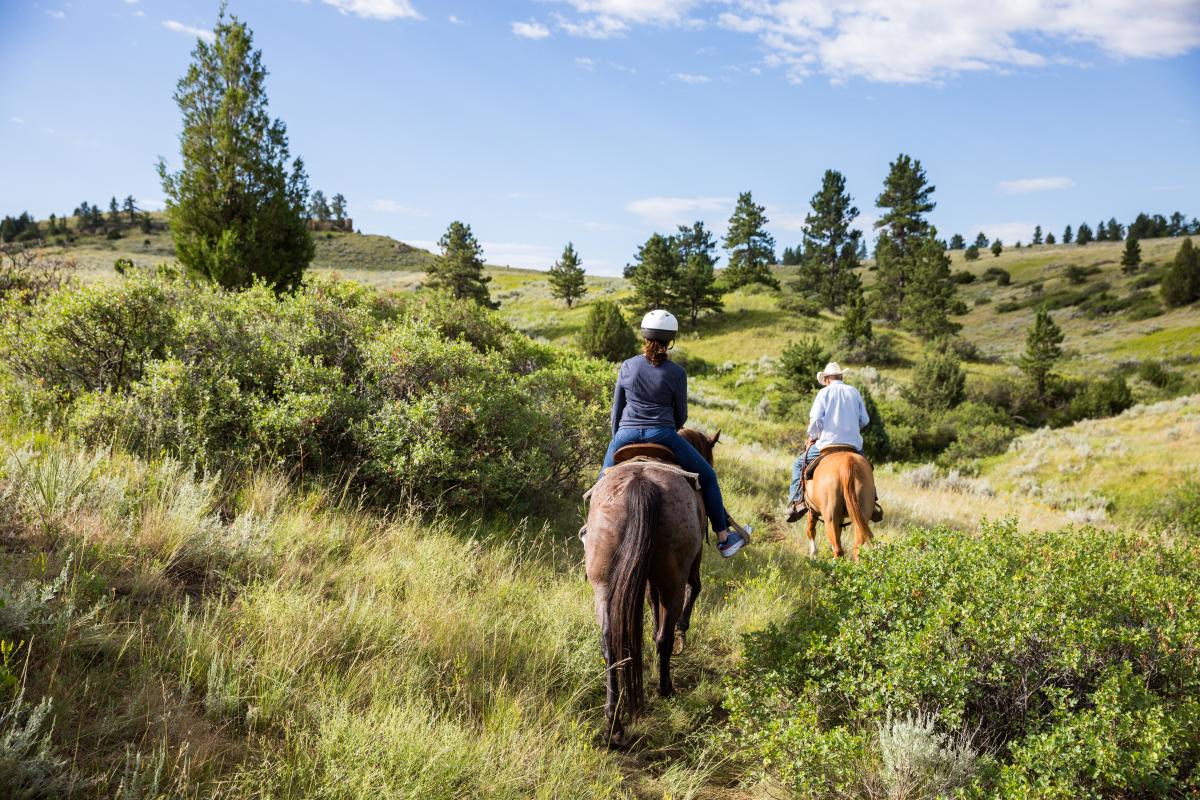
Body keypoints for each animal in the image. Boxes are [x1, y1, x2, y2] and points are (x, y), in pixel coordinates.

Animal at [585, 429, 715, 748]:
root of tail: (640, 483)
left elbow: (652, 604)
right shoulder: (690, 569)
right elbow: (694, 590)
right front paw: (682, 627)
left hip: (603, 585)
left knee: (609, 644)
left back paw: (613, 725)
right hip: (673, 579)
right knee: (663, 637)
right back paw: (666, 688)